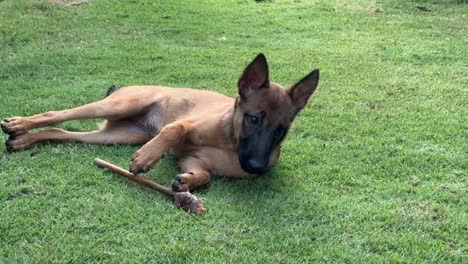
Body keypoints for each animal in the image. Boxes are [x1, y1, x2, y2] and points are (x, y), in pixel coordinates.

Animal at [0, 54, 318, 192]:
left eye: (281, 131)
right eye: (253, 119)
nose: (256, 168)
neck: (229, 141)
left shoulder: (194, 161)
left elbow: (205, 176)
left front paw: (187, 182)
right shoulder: (187, 124)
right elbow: (174, 129)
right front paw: (146, 158)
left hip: (118, 135)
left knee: (60, 131)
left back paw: (22, 140)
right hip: (118, 104)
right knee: (56, 115)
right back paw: (17, 125)